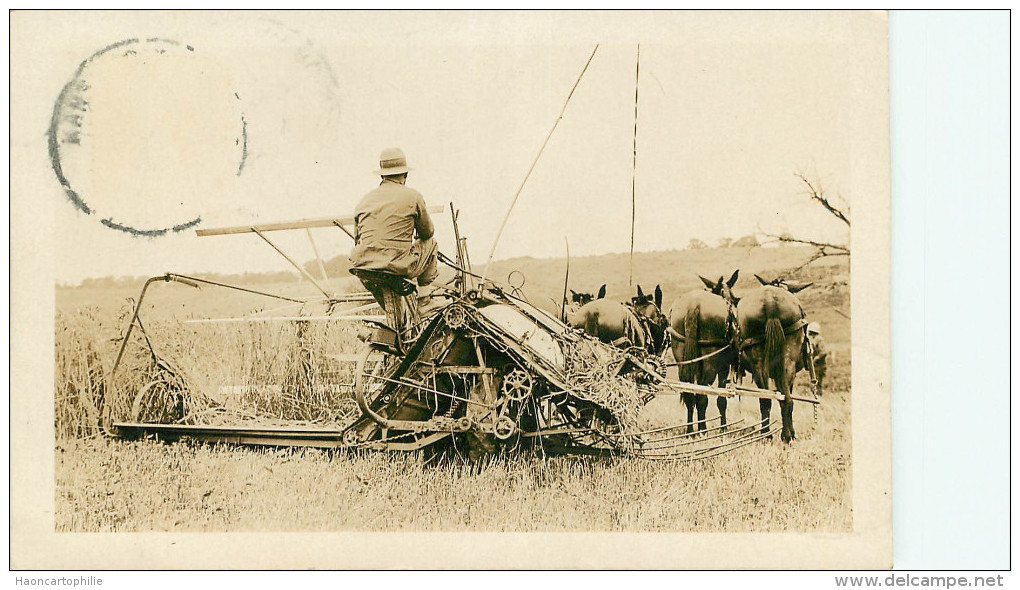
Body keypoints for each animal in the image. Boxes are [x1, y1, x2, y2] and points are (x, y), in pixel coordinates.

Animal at [665, 271, 738, 432]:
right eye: (734, 298)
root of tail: (694, 305)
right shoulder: (723, 367)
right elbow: (721, 399)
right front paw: (723, 427)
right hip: (710, 364)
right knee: (702, 395)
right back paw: (702, 429)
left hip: (682, 359)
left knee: (689, 393)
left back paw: (690, 431)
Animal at [738, 279, 807, 440]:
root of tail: (770, 302)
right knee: (781, 398)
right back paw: (781, 435)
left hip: (764, 364)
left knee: (770, 399)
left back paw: (773, 435)